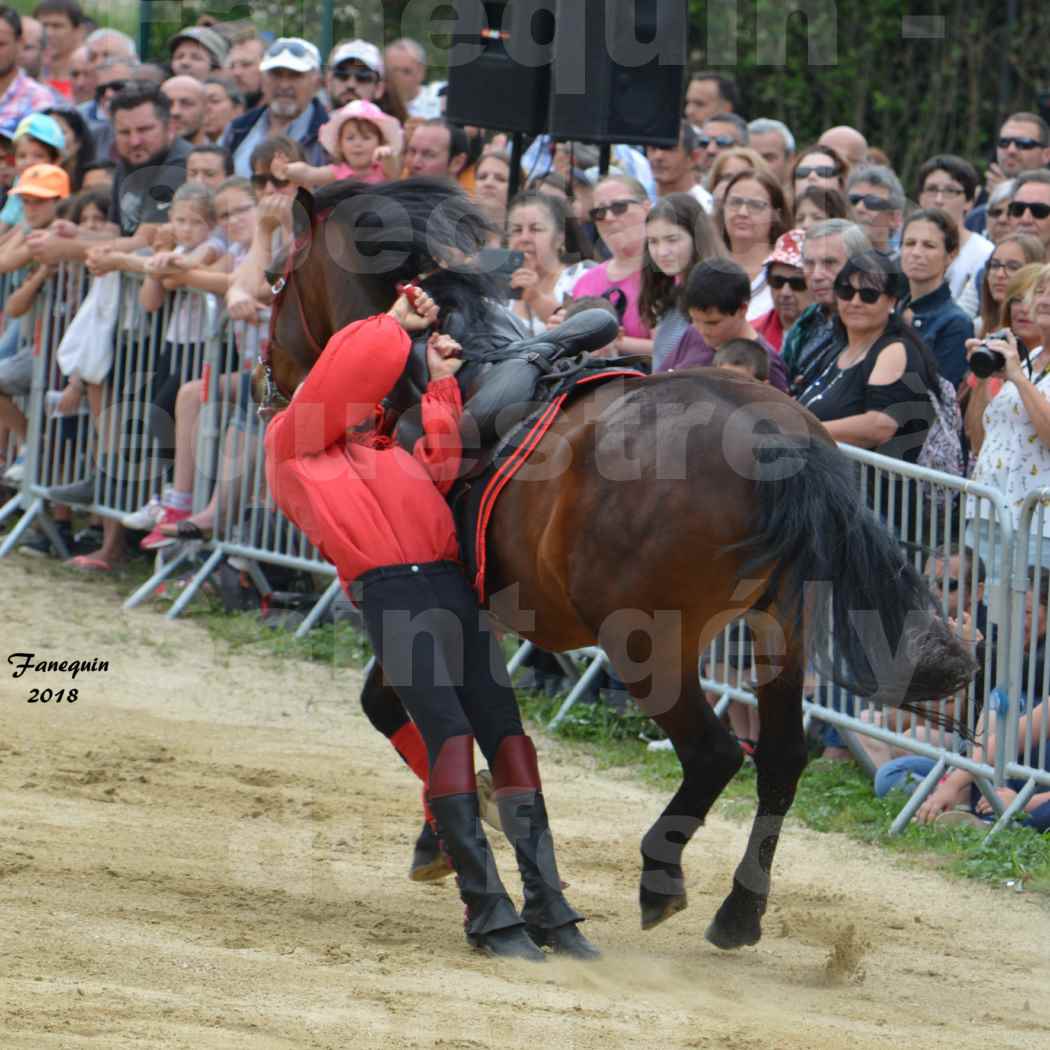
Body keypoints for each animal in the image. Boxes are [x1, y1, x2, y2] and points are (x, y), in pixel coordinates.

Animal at [256, 180, 974, 953]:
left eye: (274, 281)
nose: (271, 380)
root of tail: (775, 436)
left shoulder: (433, 607)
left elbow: (390, 706)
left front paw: (444, 838)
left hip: (646, 644)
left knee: (717, 753)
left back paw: (660, 877)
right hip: (781, 630)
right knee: (782, 758)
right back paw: (738, 912)